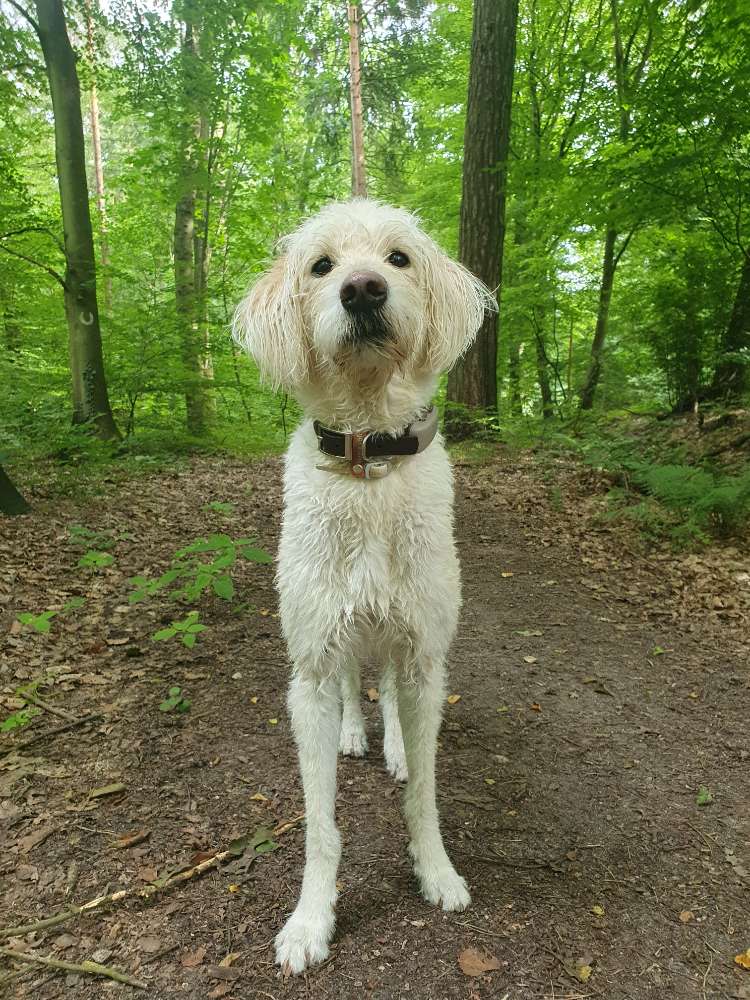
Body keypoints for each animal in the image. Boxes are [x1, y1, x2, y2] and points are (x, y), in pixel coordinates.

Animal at [234, 199, 494, 972]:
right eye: (321, 266)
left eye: (398, 258)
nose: (363, 290)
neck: (368, 461)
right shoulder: (312, 670)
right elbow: (321, 823)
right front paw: (310, 921)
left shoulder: (426, 659)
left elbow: (427, 796)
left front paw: (436, 872)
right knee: (357, 685)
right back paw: (357, 732)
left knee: (389, 695)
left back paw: (397, 747)